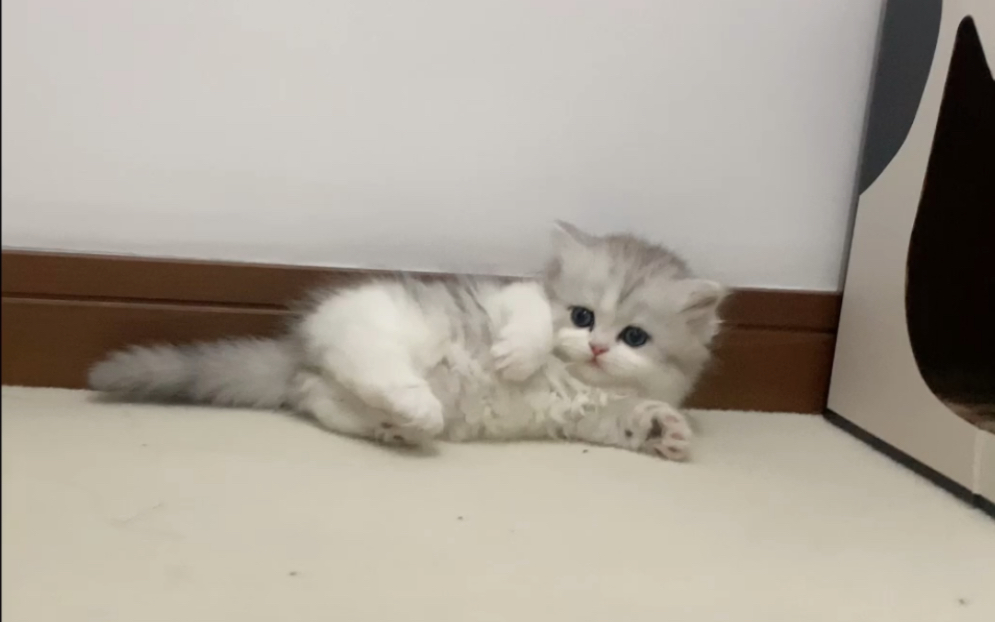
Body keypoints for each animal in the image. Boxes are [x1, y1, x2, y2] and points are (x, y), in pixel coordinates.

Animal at [89, 222, 726, 461]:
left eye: (634, 336)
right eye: (582, 315)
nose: (597, 348)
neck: (573, 380)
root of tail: (296, 350)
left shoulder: (588, 416)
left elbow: (629, 418)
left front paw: (665, 431)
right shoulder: (511, 296)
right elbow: (530, 319)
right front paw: (518, 358)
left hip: (334, 382)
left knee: (322, 394)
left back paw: (396, 426)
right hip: (389, 331)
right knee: (371, 368)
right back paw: (415, 408)